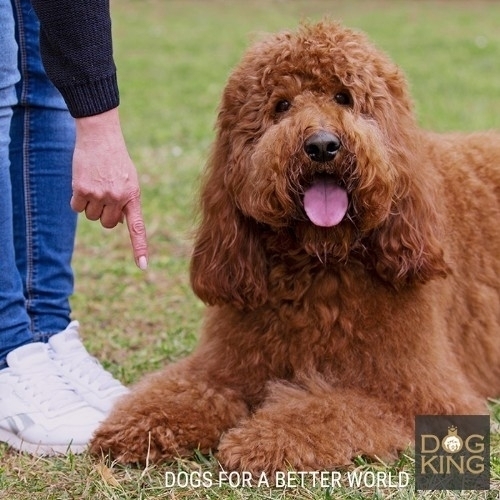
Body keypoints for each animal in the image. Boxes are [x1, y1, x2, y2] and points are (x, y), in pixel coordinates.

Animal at [91, 20, 500, 472]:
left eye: (344, 97)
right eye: (281, 105)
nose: (322, 145)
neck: (320, 262)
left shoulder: (421, 392)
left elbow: (335, 409)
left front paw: (265, 439)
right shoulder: (225, 365)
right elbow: (185, 390)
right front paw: (140, 424)